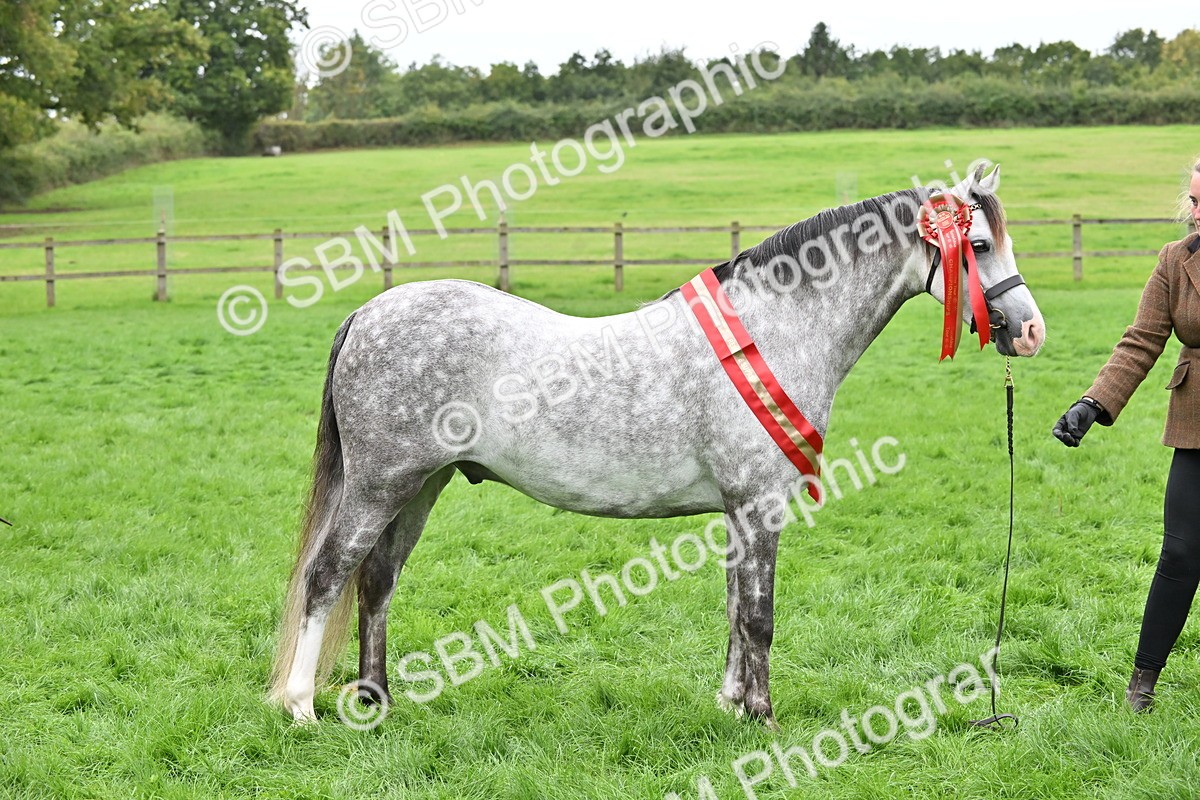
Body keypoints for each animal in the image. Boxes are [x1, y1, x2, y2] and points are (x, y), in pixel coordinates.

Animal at [269, 164, 1045, 727]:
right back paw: (301, 705)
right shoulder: (760, 504)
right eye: (977, 246)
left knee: (377, 580)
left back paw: (377, 700)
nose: (1031, 331)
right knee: (328, 575)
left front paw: (730, 706)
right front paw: (764, 719)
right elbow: (759, 616)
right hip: (381, 484)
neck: (774, 328)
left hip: (419, 486)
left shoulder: (736, 511)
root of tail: (368, 312)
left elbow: (734, 609)